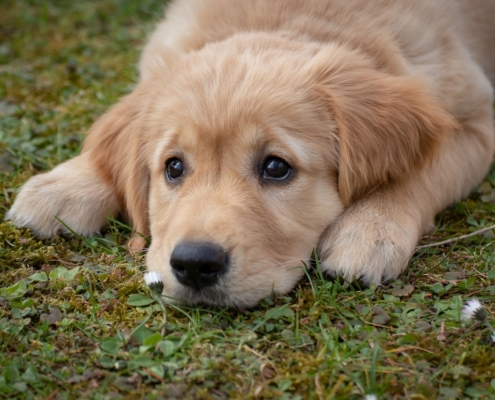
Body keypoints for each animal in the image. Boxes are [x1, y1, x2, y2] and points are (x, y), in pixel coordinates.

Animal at [4, 0, 495, 306]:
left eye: (276, 167)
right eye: (173, 167)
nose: (194, 264)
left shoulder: (478, 119)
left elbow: (425, 169)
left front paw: (372, 227)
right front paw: (67, 184)